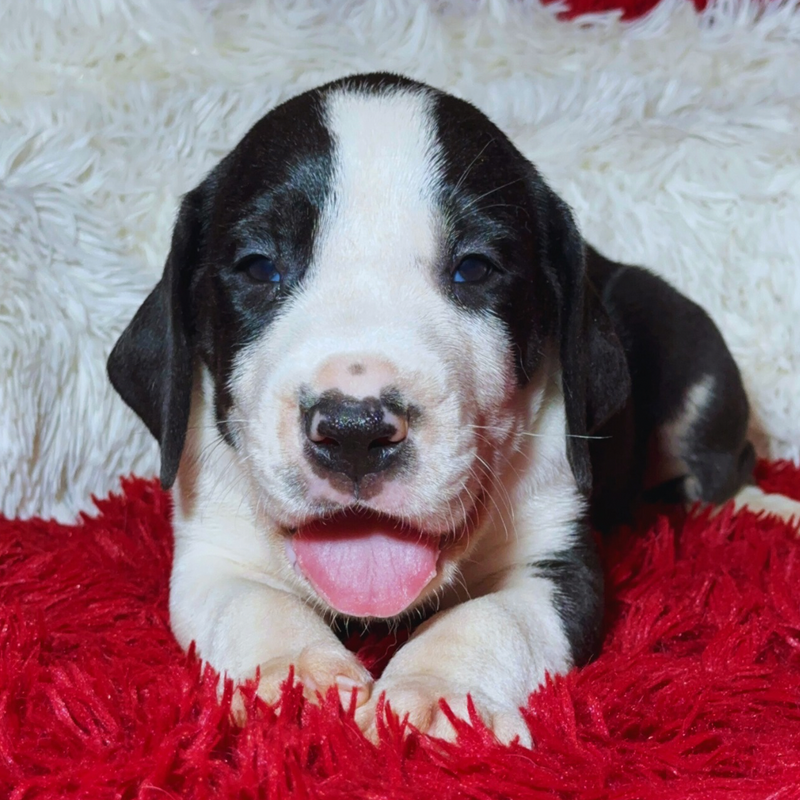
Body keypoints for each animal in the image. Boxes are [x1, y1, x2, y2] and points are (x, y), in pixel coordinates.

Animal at [108, 73, 800, 744]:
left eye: (474, 268)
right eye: (258, 267)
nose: (355, 431)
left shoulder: (557, 560)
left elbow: (489, 617)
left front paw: (433, 692)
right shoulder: (209, 549)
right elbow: (251, 604)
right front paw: (296, 679)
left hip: (697, 363)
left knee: (721, 465)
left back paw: (768, 507)